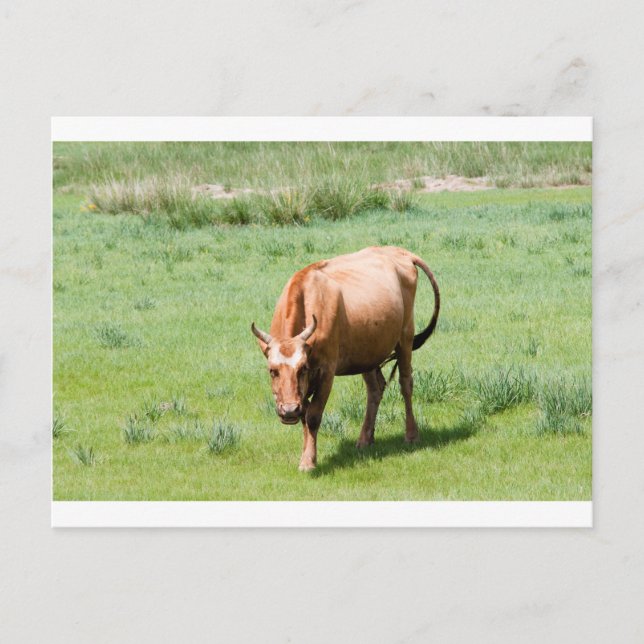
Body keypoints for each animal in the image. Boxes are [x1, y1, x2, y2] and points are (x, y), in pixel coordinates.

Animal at [251, 246, 440, 471]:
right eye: (273, 371)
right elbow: (304, 417)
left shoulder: (326, 371)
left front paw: (308, 461)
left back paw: (411, 434)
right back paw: (365, 438)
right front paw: (307, 455)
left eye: (302, 368)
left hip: (405, 338)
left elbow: (312, 416)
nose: (288, 411)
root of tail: (398, 252)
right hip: (368, 352)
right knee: (375, 388)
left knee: (406, 384)